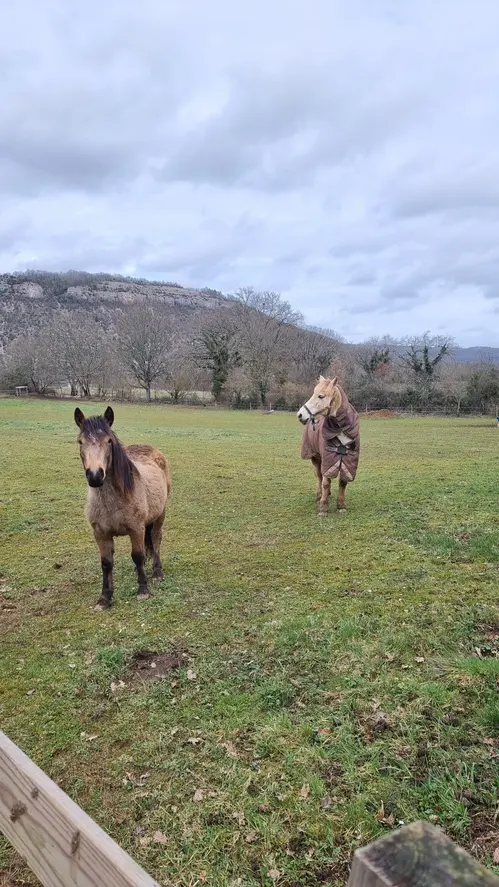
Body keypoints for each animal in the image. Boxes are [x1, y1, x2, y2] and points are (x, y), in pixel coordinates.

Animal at [74, 406, 171, 609]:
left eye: (109, 441)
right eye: (80, 441)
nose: (95, 476)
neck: (112, 502)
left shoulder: (136, 529)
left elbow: (138, 555)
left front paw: (143, 590)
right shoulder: (101, 534)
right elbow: (106, 563)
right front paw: (105, 598)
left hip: (160, 515)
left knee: (156, 539)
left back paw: (157, 573)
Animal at [297, 376, 360, 514]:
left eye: (321, 396)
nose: (300, 415)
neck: (341, 429)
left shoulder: (347, 459)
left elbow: (343, 481)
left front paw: (341, 506)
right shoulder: (328, 457)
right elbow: (325, 481)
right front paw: (323, 506)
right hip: (315, 457)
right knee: (319, 476)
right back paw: (319, 495)